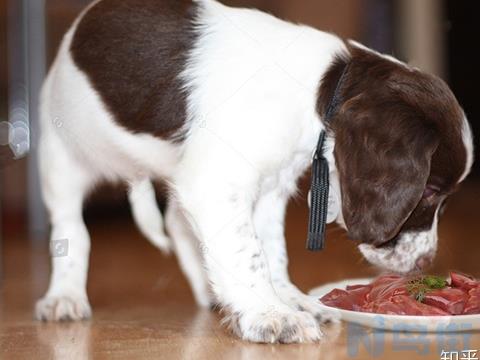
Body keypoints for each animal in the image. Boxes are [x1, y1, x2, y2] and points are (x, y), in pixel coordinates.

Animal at [36, 0, 472, 344]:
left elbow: (269, 251)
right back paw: (64, 297)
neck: (315, 93)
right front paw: (271, 315)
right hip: (63, 156)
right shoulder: (216, 182)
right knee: (71, 231)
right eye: (430, 191)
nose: (425, 263)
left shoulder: (267, 187)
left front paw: (288, 299)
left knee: (177, 220)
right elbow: (247, 254)